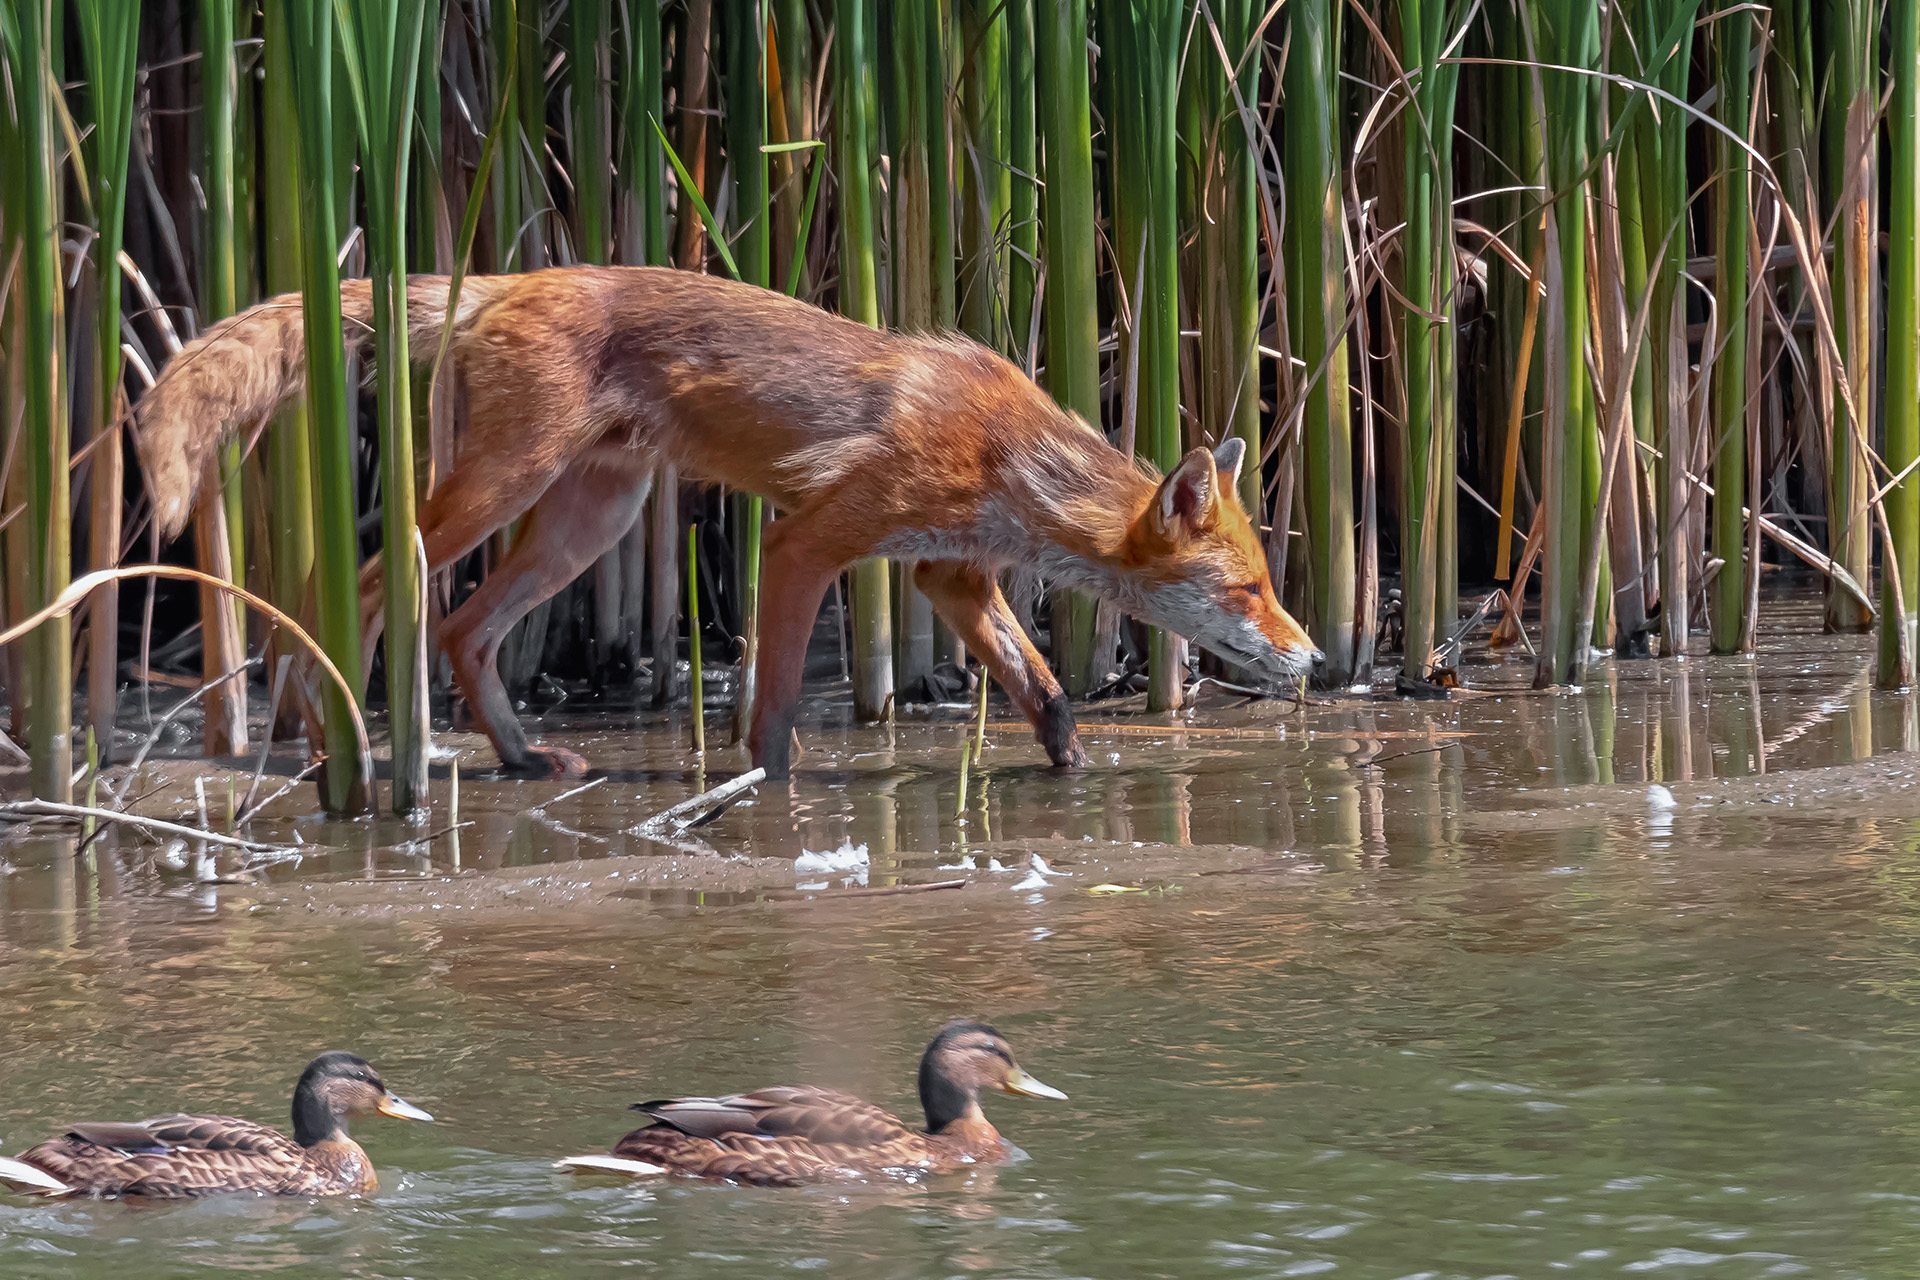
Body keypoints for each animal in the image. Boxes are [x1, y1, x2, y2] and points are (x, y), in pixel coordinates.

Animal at [135, 264, 1320, 775]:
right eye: (1250, 587)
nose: (1315, 659)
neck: (1006, 456)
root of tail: (495, 279)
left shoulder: (949, 575)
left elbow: (1047, 694)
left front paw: (1072, 780)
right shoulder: (808, 544)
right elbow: (778, 710)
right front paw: (769, 799)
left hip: (594, 522)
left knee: (468, 629)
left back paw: (516, 755)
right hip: (496, 491)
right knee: (368, 589)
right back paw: (325, 728)